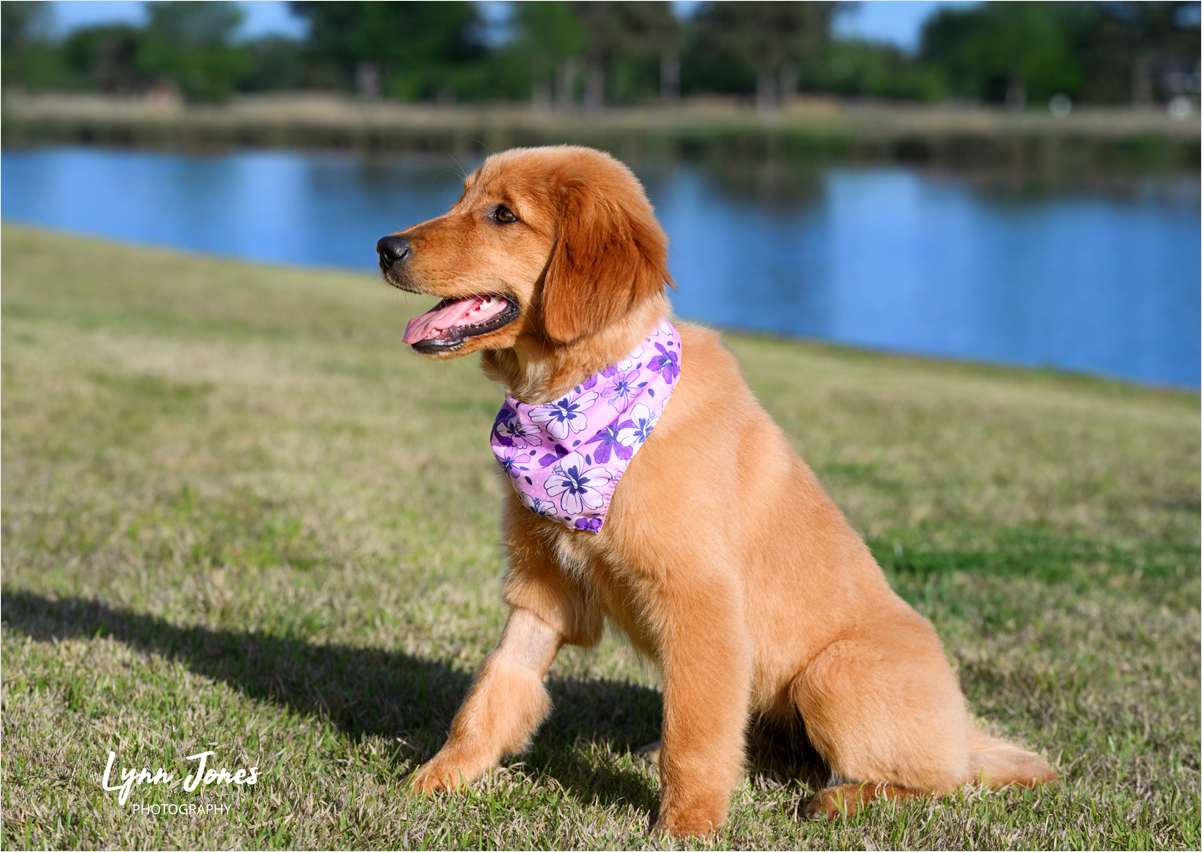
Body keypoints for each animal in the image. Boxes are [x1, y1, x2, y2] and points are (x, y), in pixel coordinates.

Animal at [376, 145, 1056, 836]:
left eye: (504, 215)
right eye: (463, 198)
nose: (384, 246)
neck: (577, 406)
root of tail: (966, 737)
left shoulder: (700, 600)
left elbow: (695, 732)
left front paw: (686, 826)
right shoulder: (543, 587)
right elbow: (495, 692)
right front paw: (435, 781)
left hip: (833, 675)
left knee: (934, 782)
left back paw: (841, 799)